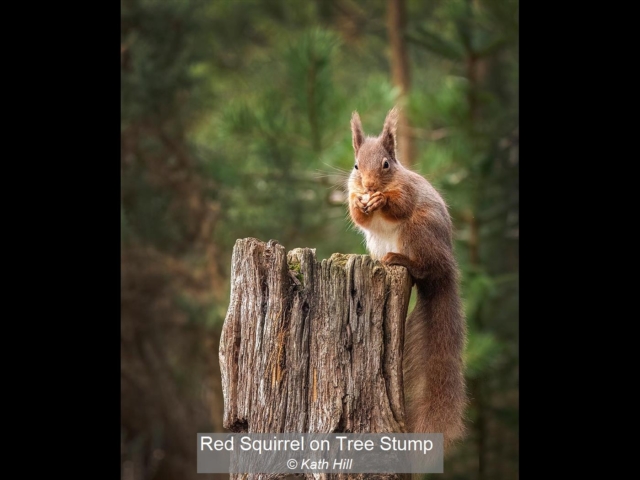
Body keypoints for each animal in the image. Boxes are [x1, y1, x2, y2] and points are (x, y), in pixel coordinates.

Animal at [347, 107, 467, 449]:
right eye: (356, 165)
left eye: (386, 164)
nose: (369, 185)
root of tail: (446, 267)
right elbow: (357, 215)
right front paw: (360, 203)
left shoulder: (407, 193)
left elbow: (398, 205)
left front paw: (381, 201)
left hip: (419, 230)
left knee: (423, 267)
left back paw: (400, 260)